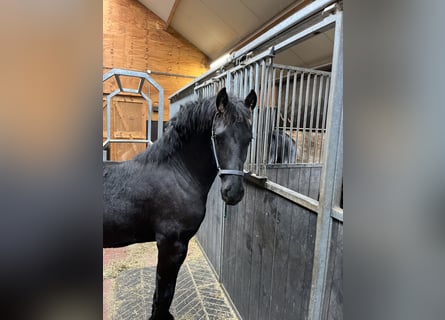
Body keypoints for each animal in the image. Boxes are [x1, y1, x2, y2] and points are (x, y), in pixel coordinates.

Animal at [102, 88, 255, 320]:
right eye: (218, 137)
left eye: (249, 138)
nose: (233, 192)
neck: (175, 173)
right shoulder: (171, 245)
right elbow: (164, 292)